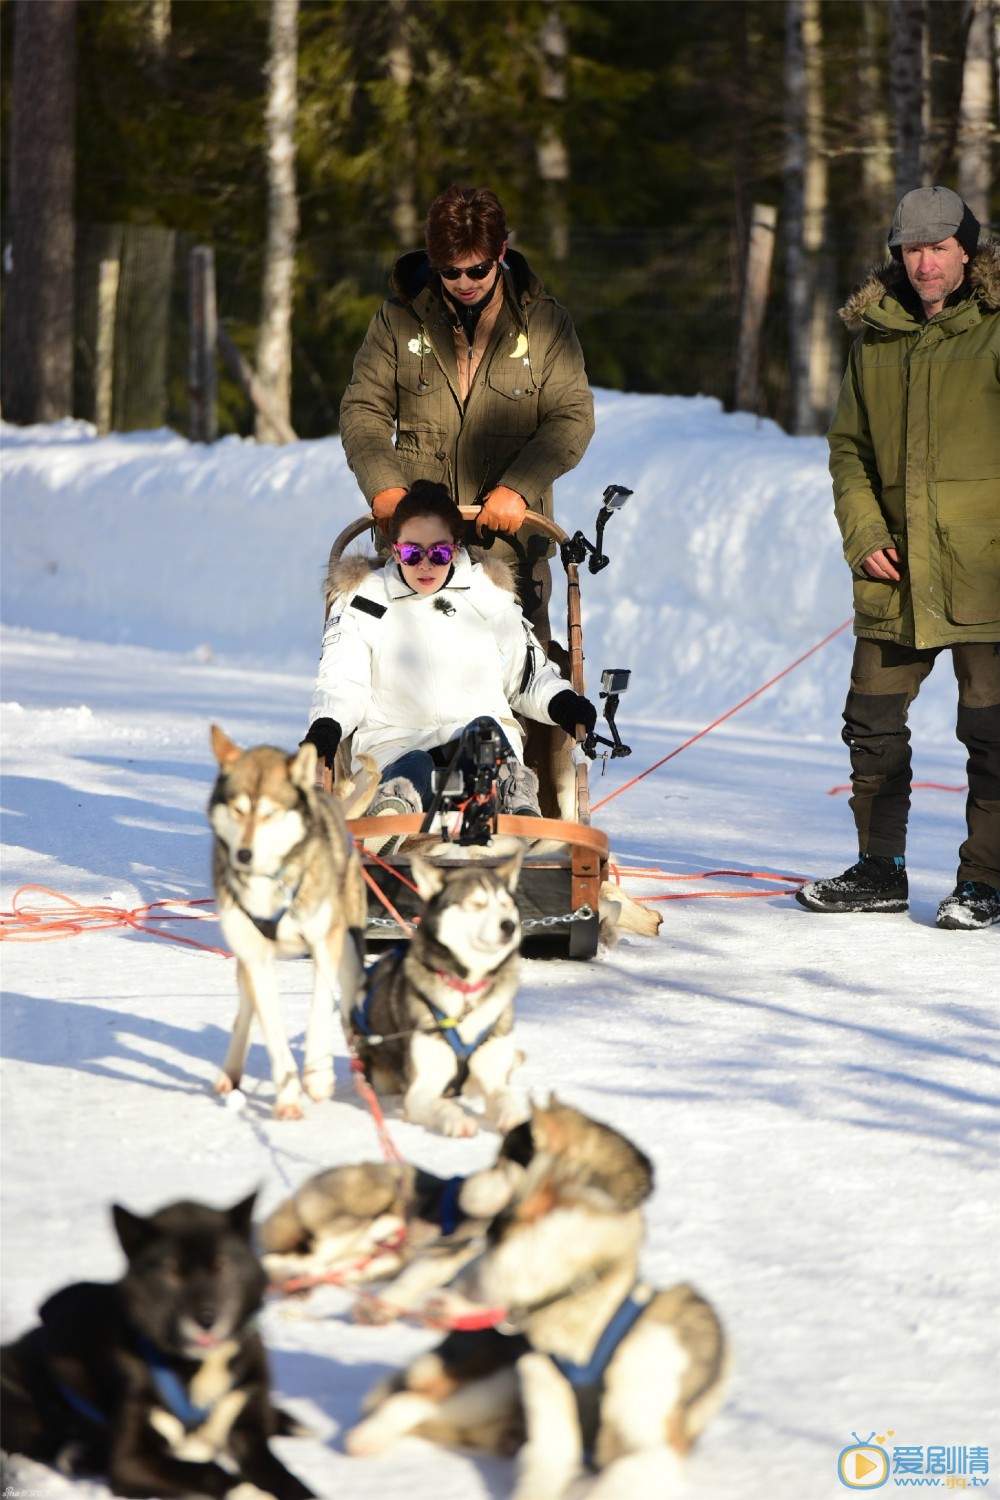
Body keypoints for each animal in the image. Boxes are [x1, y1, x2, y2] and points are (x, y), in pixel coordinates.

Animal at [0, 1194, 313, 1500]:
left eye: (221, 1266)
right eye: (171, 1271)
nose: (207, 1319)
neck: (198, 1365)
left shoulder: (246, 1426)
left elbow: (287, 1480)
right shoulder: (131, 1461)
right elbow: (208, 1470)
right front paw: (247, 1491)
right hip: (18, 1398)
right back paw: (78, 1453)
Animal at [209, 720, 370, 1122]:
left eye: (270, 813)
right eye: (237, 810)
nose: (243, 854)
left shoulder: (325, 943)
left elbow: (319, 1009)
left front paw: (317, 1074)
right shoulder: (255, 958)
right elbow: (273, 1030)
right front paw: (288, 1095)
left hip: (347, 942)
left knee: (349, 994)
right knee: (246, 1011)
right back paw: (230, 1072)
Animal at [260, 1116, 539, 1314]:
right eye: (499, 1161)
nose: (464, 1186)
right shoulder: (445, 1253)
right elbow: (413, 1282)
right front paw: (378, 1309)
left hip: (379, 1259)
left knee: (325, 1269)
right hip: (364, 1218)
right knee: (286, 1260)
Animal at [346, 852, 524, 1128]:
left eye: (506, 904)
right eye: (476, 904)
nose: (509, 925)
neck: (467, 991)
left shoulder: (494, 1079)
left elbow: (507, 1100)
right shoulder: (421, 1090)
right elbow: (443, 1107)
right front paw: (457, 1120)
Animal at [346, 1098, 728, 1494]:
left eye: (502, 1160)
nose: (460, 1187)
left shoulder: (659, 1452)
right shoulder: (550, 1440)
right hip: (494, 1388)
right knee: (411, 1398)